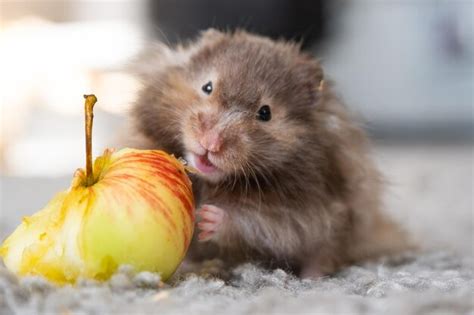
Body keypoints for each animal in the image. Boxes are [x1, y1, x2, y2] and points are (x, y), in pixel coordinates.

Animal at [130, 28, 412, 278]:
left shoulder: (303, 214)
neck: (214, 182)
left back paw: (313, 277)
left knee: (324, 254)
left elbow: (257, 222)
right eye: (207, 87)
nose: (210, 142)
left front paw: (207, 216)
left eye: (265, 113)